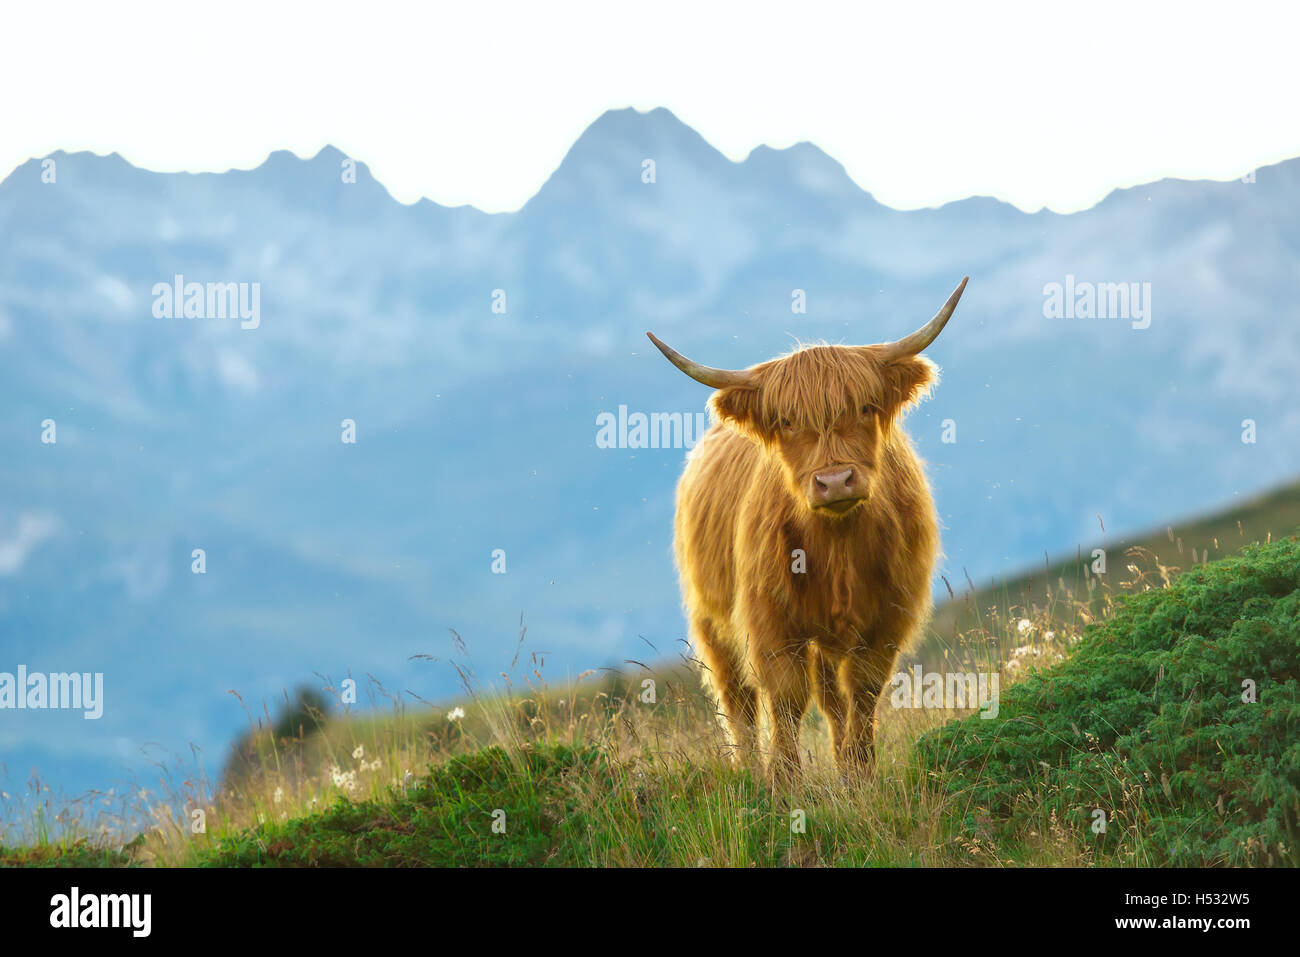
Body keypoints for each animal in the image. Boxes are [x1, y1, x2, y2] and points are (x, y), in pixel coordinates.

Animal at [647, 277, 967, 786]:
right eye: (786, 421)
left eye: (865, 407)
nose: (835, 481)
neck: (838, 546)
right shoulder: (770, 621)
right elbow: (785, 699)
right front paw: (785, 782)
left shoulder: (887, 617)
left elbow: (862, 692)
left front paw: (859, 775)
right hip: (711, 620)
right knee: (738, 701)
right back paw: (748, 770)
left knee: (832, 697)